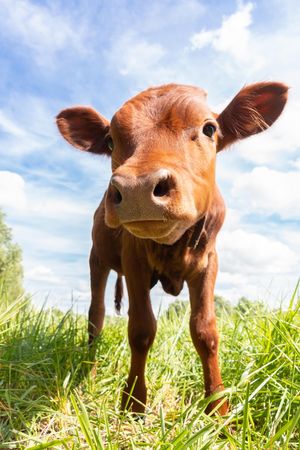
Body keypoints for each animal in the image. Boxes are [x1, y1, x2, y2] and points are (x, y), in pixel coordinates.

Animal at [56, 81, 288, 414]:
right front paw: (133, 403)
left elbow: (205, 330)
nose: (137, 188)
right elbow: (141, 329)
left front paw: (218, 407)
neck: (173, 243)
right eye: (110, 141)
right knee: (95, 314)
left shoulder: (208, 262)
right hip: (97, 258)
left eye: (209, 128)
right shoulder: (134, 260)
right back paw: (90, 369)